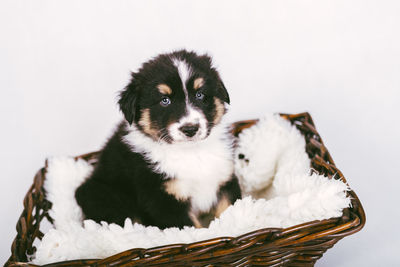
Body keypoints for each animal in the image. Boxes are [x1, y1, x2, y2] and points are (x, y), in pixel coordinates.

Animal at [75, 50, 241, 230]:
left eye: (200, 94)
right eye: (164, 100)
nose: (190, 129)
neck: (190, 152)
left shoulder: (224, 179)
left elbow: (230, 211)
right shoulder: (163, 199)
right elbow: (192, 228)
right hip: (100, 195)